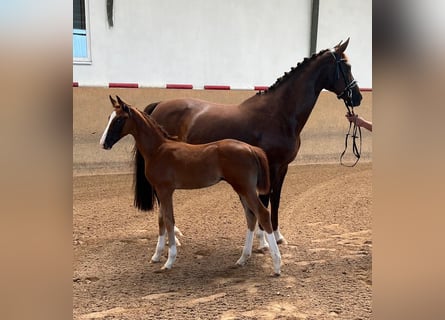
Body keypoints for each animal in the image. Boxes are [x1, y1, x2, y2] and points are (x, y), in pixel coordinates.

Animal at [101, 95, 280, 276]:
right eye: (109, 118)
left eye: (119, 119)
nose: (103, 143)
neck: (158, 149)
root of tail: (251, 148)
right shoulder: (160, 191)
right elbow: (161, 219)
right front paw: (157, 256)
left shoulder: (165, 190)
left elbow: (169, 220)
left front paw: (169, 261)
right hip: (241, 189)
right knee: (251, 216)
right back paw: (243, 259)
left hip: (246, 188)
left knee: (263, 214)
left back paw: (277, 265)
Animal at [135, 37, 360, 248]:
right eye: (346, 67)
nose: (357, 98)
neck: (279, 113)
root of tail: (160, 105)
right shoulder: (270, 166)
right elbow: (265, 199)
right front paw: (263, 240)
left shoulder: (283, 167)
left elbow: (276, 200)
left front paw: (277, 236)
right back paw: (173, 236)